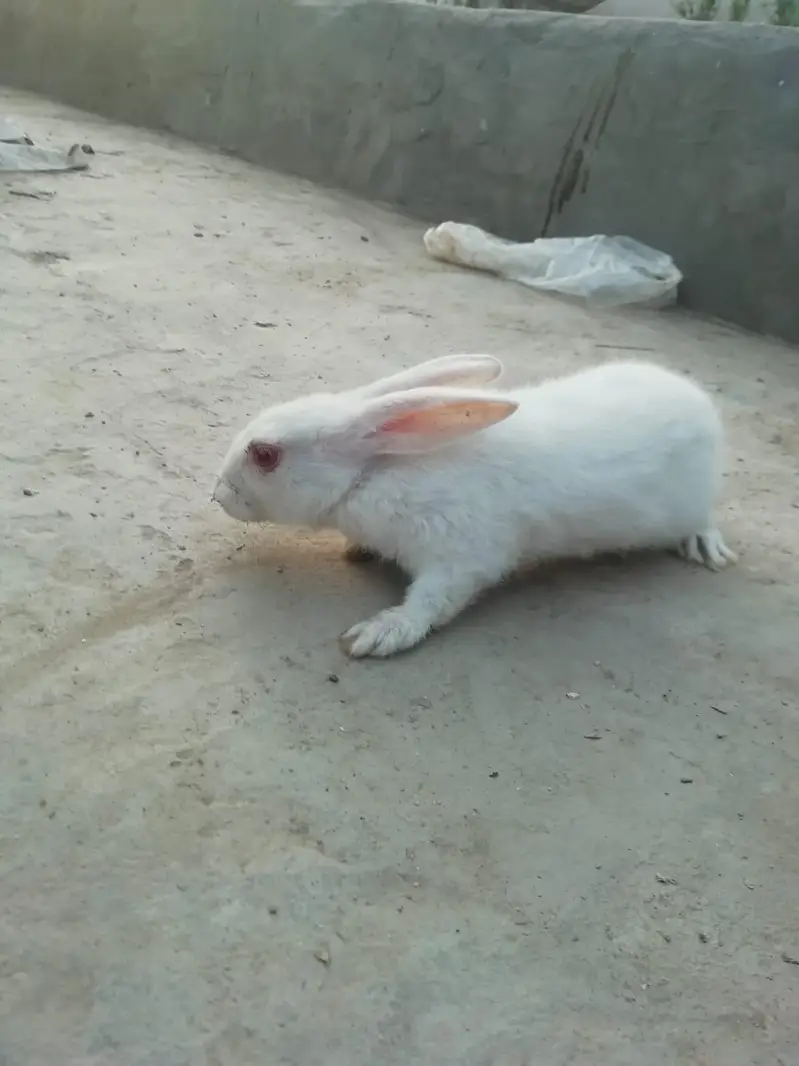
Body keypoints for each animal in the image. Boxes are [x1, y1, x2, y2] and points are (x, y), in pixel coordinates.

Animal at [212, 354, 736, 659]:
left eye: (265, 455)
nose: (218, 495)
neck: (375, 471)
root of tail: (696, 401)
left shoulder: (462, 557)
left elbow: (430, 603)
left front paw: (378, 634)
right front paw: (358, 551)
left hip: (689, 505)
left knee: (704, 520)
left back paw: (705, 547)